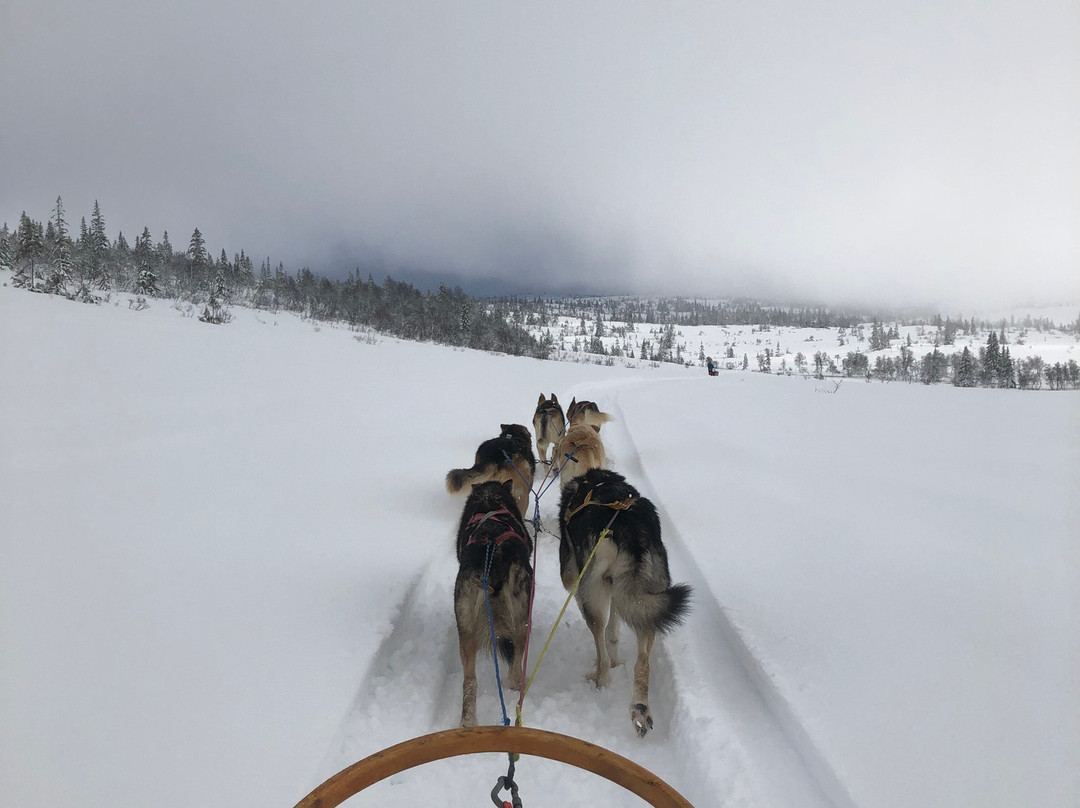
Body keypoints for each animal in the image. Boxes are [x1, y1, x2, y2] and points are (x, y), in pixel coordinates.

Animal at [453, 477, 533, 730]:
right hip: (521, 618)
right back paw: (516, 687)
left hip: (465, 627)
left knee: (469, 681)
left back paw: (468, 721)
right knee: (516, 663)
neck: (490, 501)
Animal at [557, 466, 691, 738]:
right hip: (644, 599)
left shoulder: (575, 580)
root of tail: (631, 526)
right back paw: (639, 709)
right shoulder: (616, 589)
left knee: (601, 652)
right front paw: (618, 657)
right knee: (642, 662)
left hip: (593, 595)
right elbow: (614, 631)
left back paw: (599, 680)